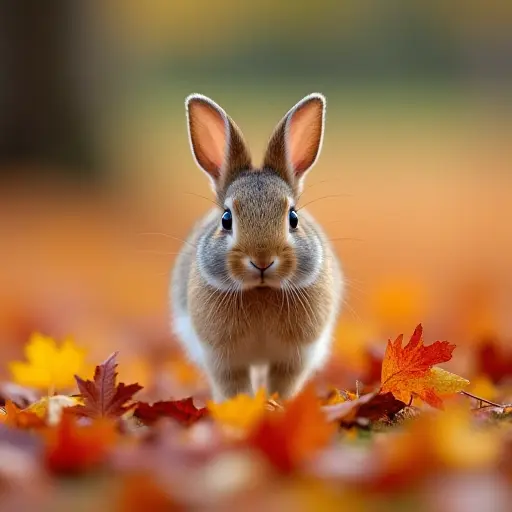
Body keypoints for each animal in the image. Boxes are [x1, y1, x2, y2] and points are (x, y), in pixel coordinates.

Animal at [172, 93, 344, 404]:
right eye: (226, 219)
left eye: (293, 218)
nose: (262, 260)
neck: (261, 291)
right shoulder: (222, 359)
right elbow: (235, 388)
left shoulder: (294, 358)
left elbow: (282, 384)